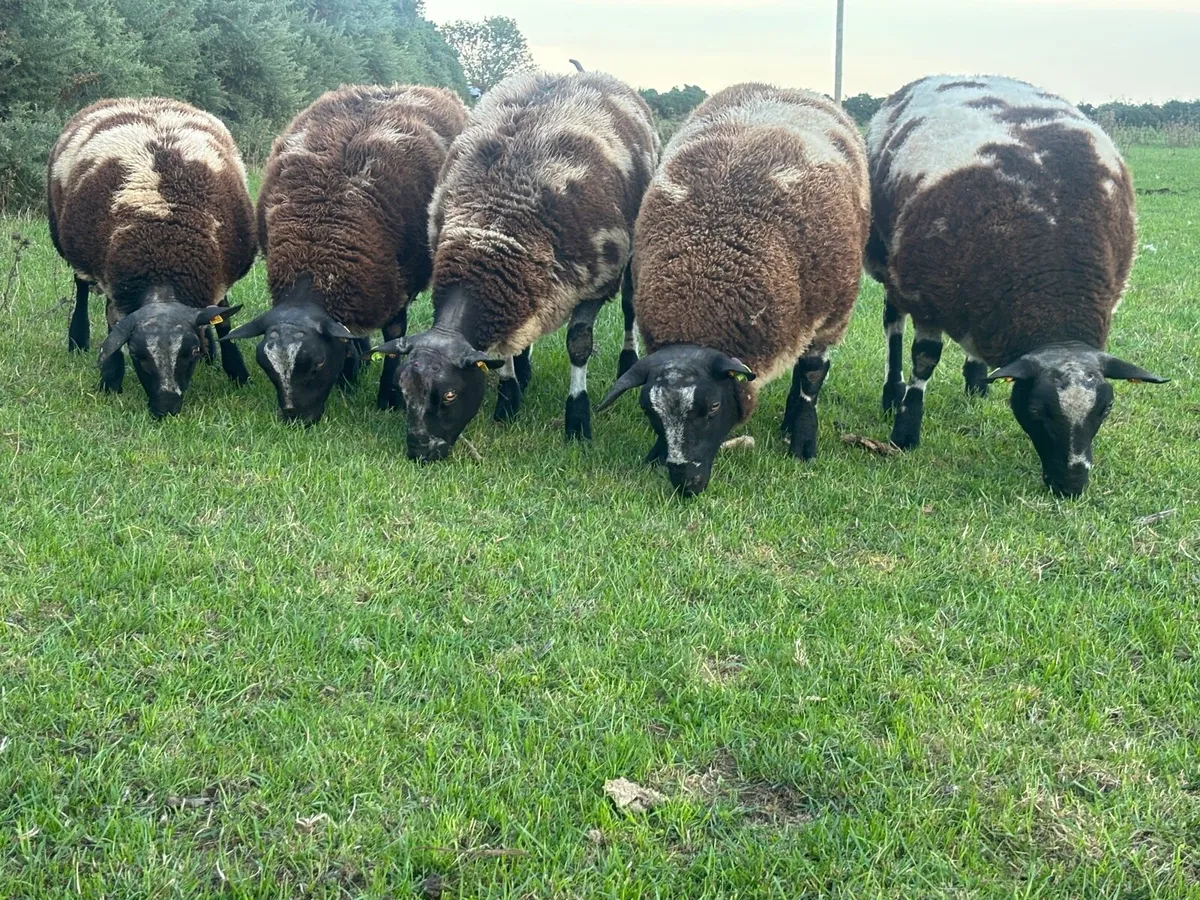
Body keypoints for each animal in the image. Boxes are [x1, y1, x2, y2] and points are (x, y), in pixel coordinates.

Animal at [48, 97, 256, 418]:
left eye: (191, 352)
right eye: (137, 355)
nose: (166, 408)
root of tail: (139, 98)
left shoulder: (220, 271)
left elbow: (222, 320)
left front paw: (236, 371)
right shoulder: (116, 282)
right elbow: (113, 329)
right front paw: (110, 380)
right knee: (81, 288)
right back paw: (77, 340)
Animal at [222, 85, 467, 425]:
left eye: (318, 364)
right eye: (265, 366)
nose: (295, 420)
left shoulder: (398, 281)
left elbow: (394, 334)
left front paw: (387, 398)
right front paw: (348, 378)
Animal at [371, 69, 659, 461]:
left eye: (450, 394)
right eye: (402, 391)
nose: (420, 452)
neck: (494, 227)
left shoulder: (596, 283)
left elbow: (578, 346)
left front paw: (577, 420)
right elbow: (505, 345)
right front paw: (508, 402)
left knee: (629, 308)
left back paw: (626, 363)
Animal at [597, 83, 870, 496]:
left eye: (712, 407)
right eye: (648, 409)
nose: (687, 483)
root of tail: (783, 88)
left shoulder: (830, 316)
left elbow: (811, 378)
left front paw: (804, 443)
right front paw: (656, 453)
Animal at [865, 75, 1167, 496]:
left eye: (1106, 408)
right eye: (1037, 409)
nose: (1071, 485)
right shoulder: (924, 295)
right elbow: (924, 359)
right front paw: (905, 431)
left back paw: (977, 381)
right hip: (888, 263)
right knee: (893, 325)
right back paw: (893, 392)